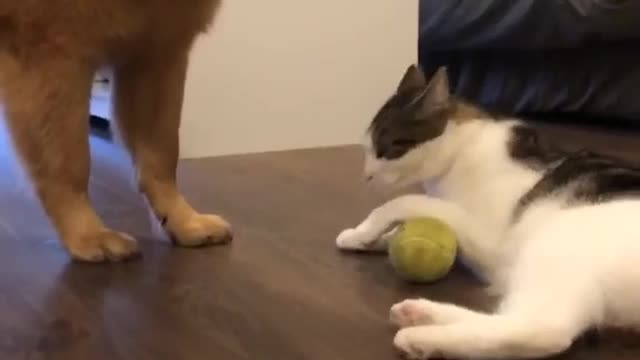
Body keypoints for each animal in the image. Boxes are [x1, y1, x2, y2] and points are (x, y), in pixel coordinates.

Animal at [0, 0, 232, 262]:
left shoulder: (155, 53)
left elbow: (162, 156)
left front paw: (183, 221)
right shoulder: (52, 53)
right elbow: (70, 164)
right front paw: (88, 234)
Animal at [336, 65, 640, 360]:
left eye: (386, 148)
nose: (366, 176)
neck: (459, 152)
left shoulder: (489, 241)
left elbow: (408, 203)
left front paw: (365, 229)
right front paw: (366, 239)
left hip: (554, 244)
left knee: (543, 330)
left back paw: (420, 337)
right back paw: (420, 314)